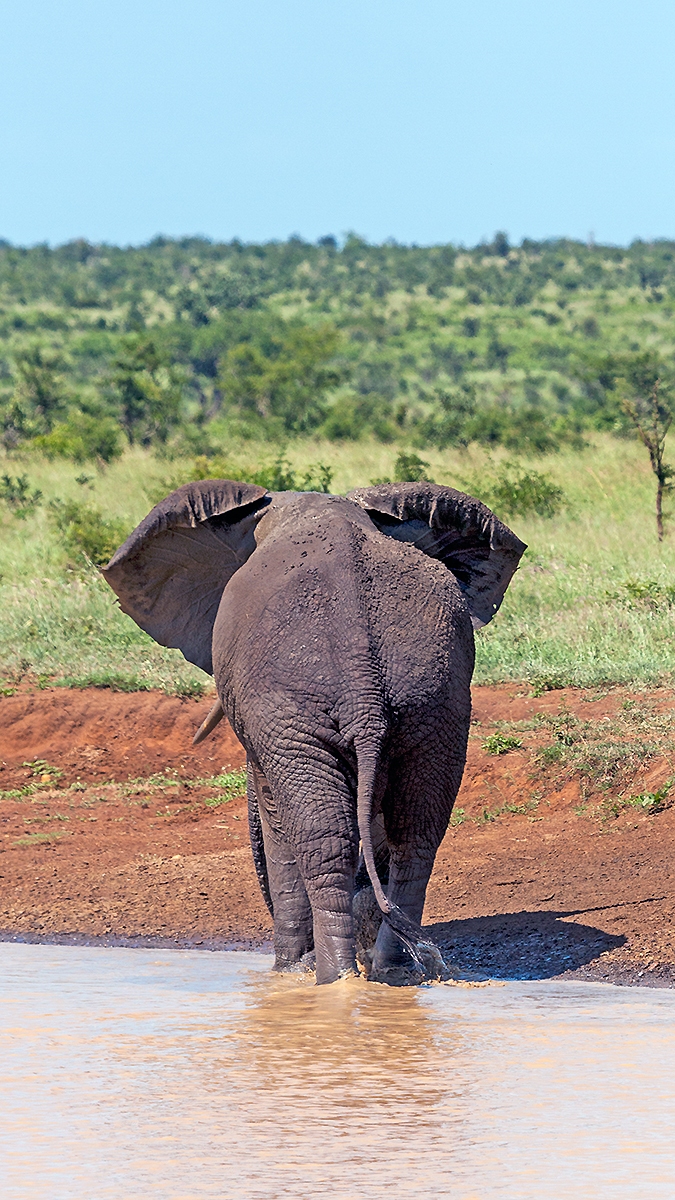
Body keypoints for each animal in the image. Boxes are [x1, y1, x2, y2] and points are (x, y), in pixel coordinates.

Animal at [102, 479, 525, 985]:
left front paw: (288, 972)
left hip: (302, 713)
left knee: (325, 838)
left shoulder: (268, 717)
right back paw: (394, 972)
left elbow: (275, 815)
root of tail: (364, 681)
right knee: (416, 834)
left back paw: (334, 979)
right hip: (433, 703)